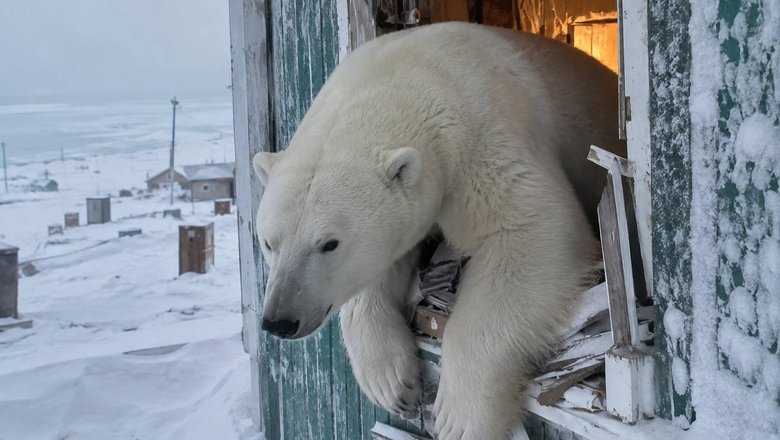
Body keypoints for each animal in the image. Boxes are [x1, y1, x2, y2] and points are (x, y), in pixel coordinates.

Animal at [253, 22, 624, 439]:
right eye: (268, 243)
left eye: (329, 243)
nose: (281, 320)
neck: (408, 75)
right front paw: (392, 383)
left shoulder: (483, 139)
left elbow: (530, 230)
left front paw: (460, 419)